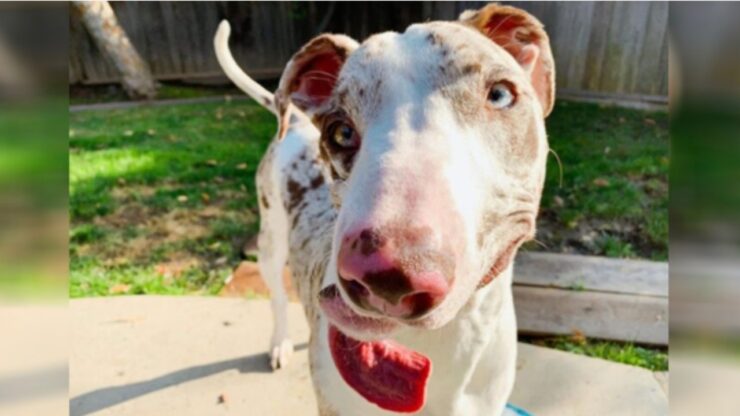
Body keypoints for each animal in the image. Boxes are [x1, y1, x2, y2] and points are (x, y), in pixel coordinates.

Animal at [214, 4, 556, 414]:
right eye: (340, 131)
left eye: (501, 94)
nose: (389, 275)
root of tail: (294, 121)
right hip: (270, 241)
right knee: (278, 297)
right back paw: (279, 341)